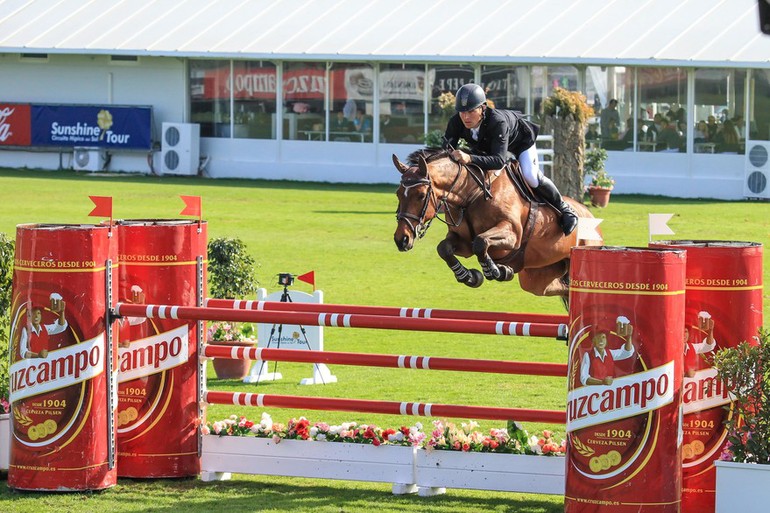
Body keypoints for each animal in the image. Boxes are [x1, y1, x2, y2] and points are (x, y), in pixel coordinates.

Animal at [392, 147, 604, 300]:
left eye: (420, 195)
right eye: (398, 194)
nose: (401, 240)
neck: (471, 195)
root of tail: (589, 215)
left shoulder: (512, 235)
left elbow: (481, 242)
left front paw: (496, 271)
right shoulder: (462, 241)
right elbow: (444, 248)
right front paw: (469, 276)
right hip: (537, 277)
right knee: (563, 288)